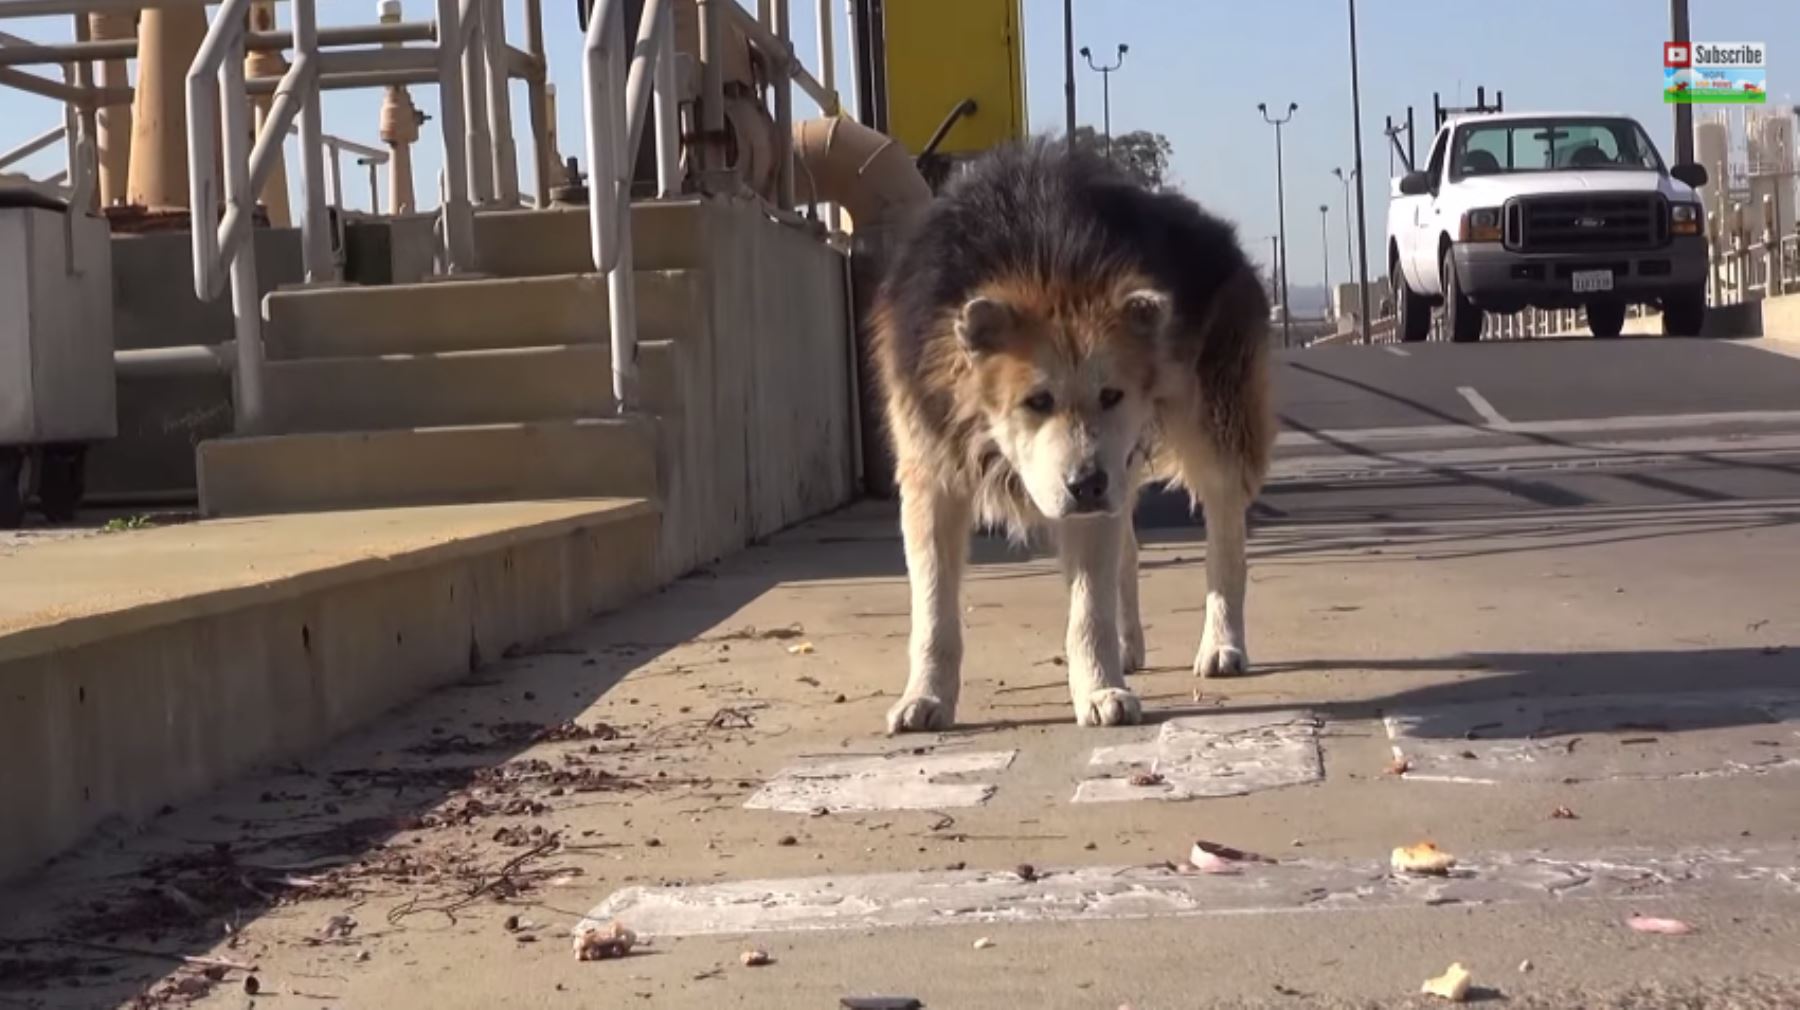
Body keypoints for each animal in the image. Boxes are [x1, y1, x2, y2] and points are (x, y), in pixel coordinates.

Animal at [864, 135, 1274, 730]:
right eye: (1037, 401)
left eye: (1112, 395)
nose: (1086, 484)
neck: (1041, 261)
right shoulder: (931, 472)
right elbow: (934, 610)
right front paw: (926, 696)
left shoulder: (1100, 480)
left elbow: (1088, 608)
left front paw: (1100, 689)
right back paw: (1130, 644)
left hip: (1212, 425)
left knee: (1224, 536)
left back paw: (1222, 643)